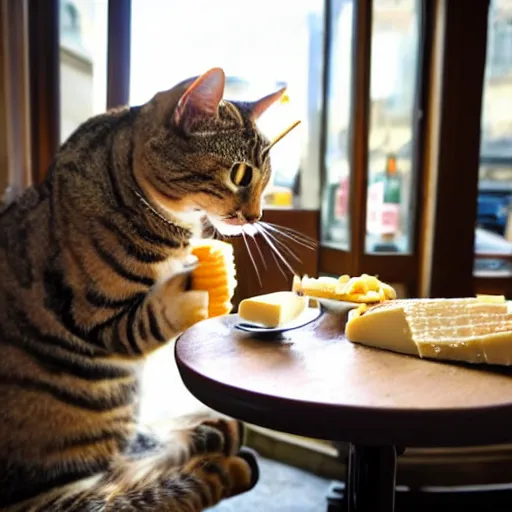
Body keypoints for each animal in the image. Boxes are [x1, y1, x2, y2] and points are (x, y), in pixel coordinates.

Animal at [0, 67, 284, 508]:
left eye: (266, 180)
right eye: (240, 175)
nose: (256, 217)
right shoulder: (96, 317)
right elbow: (148, 318)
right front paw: (194, 287)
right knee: (156, 490)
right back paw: (222, 461)